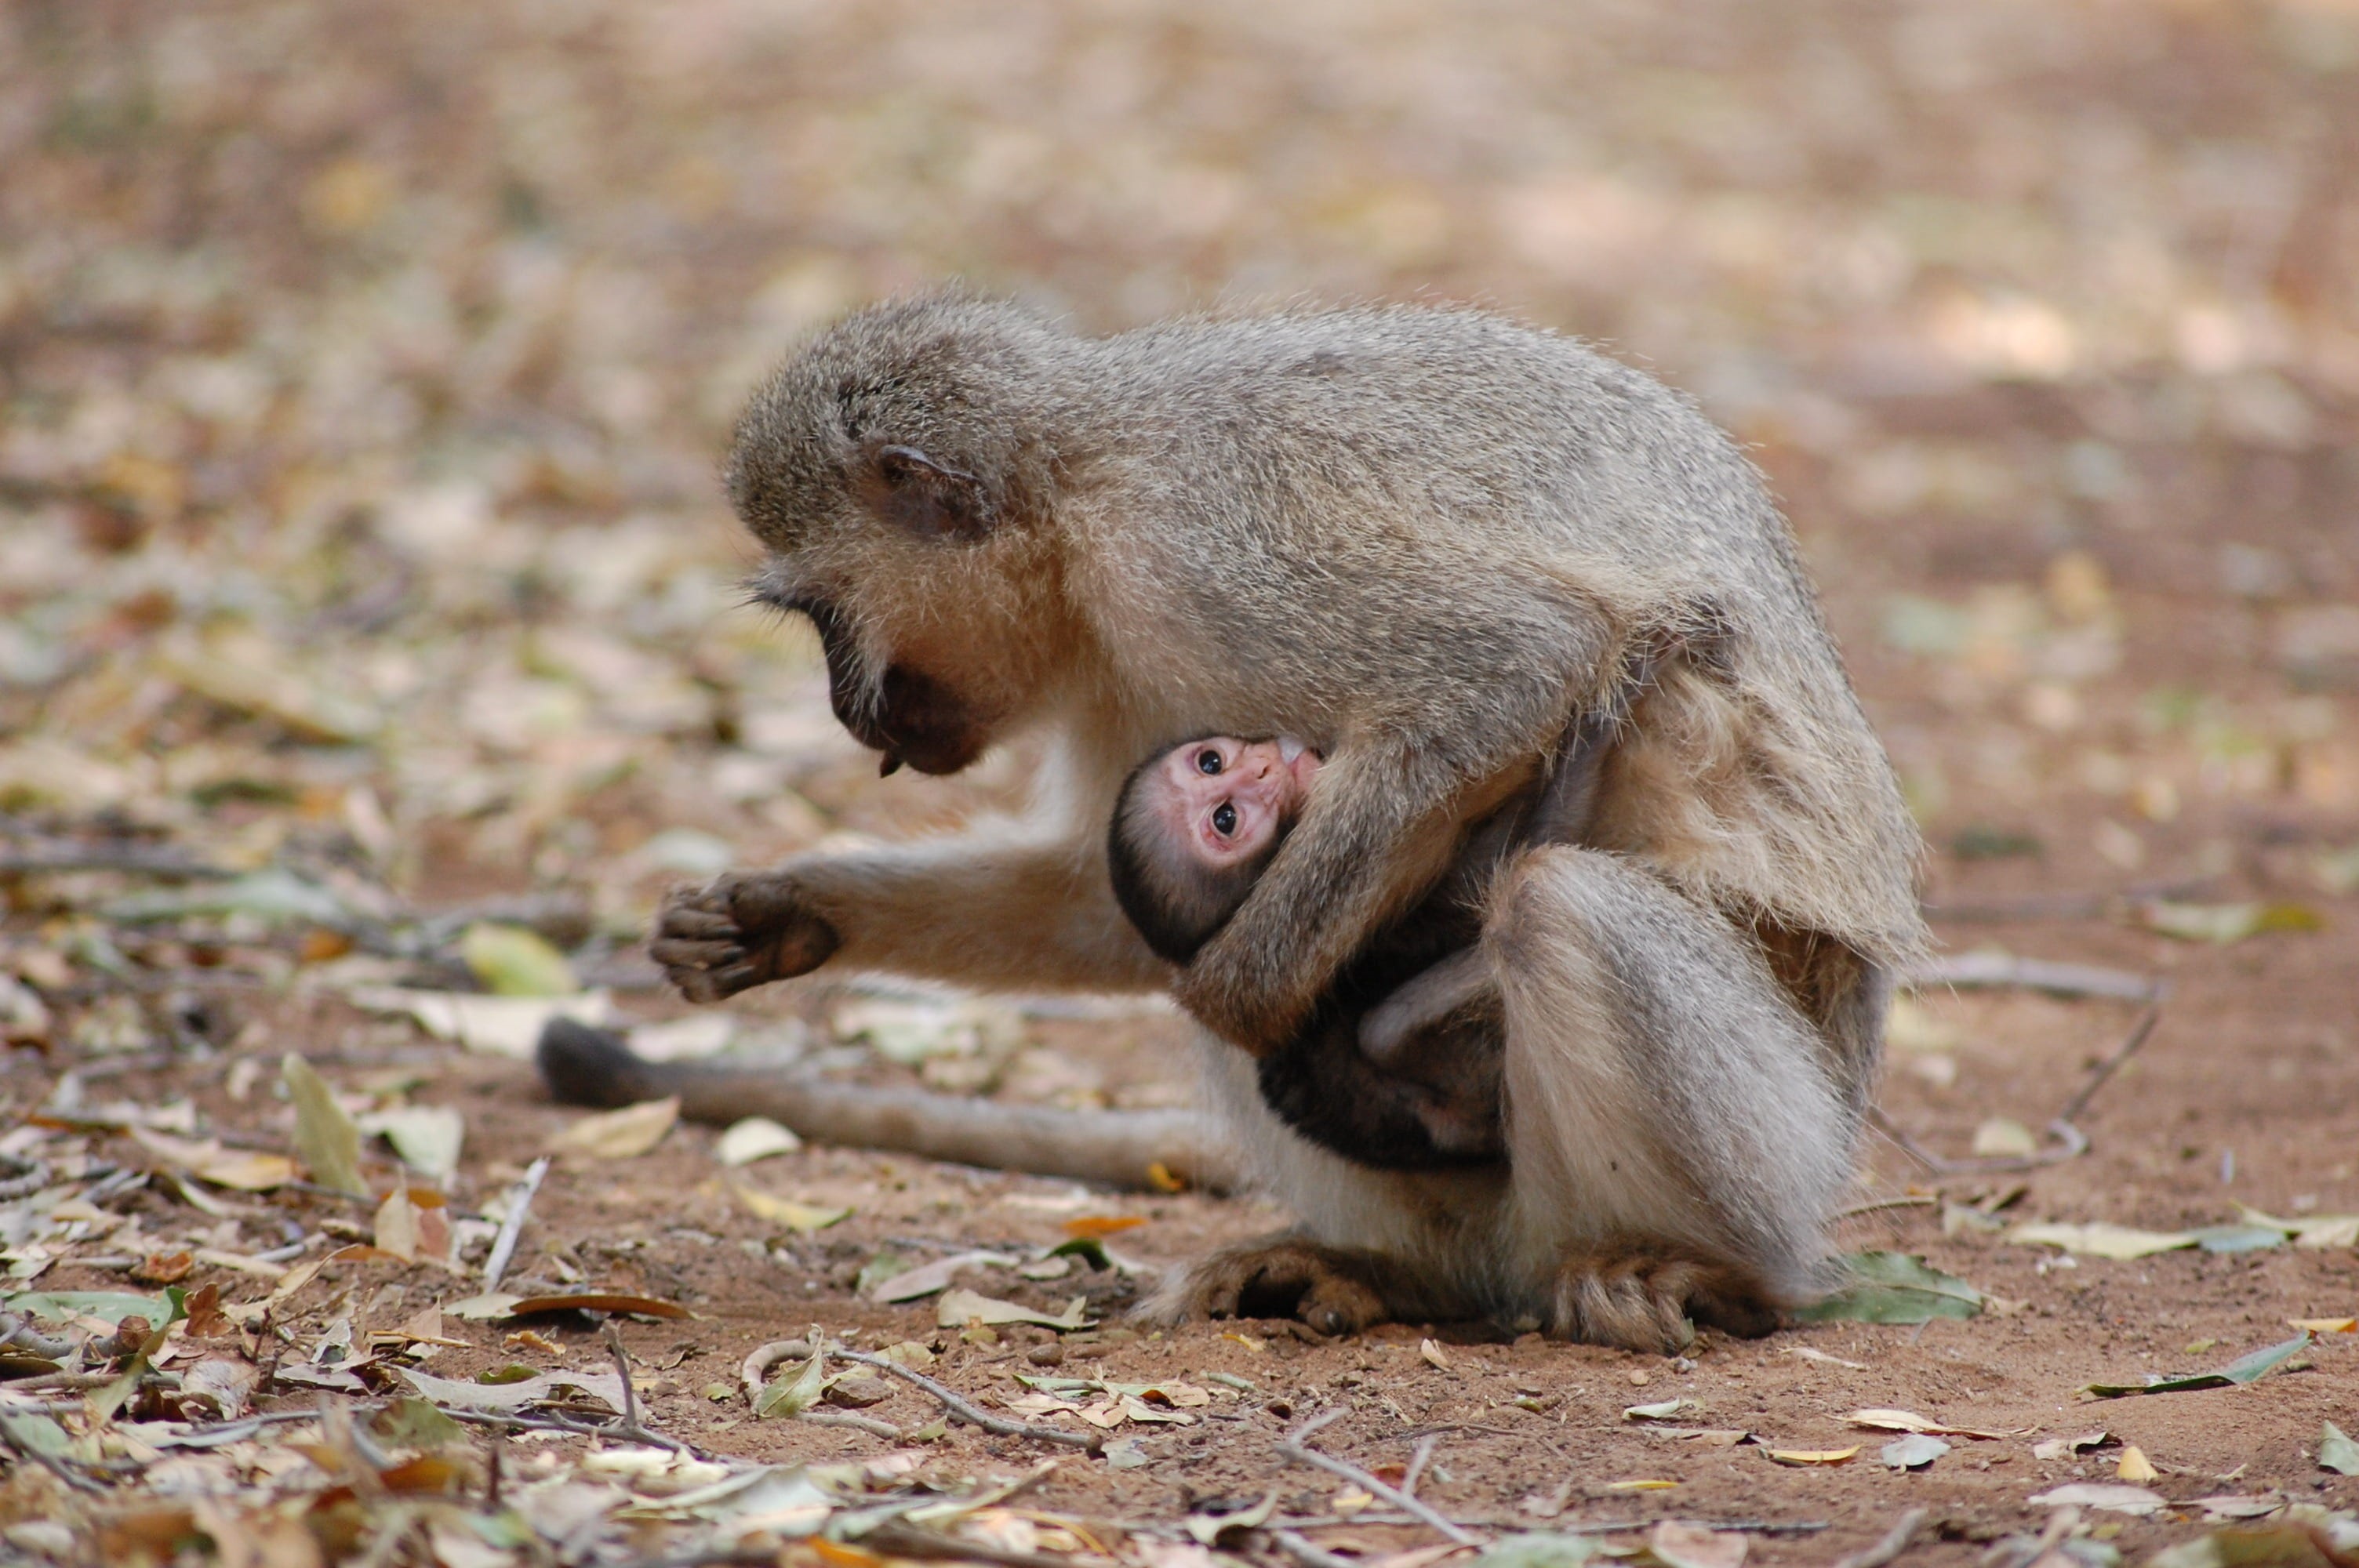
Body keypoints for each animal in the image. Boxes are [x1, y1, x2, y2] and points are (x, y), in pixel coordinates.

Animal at [554, 289, 1926, 1352]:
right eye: (1215, 781)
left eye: (826, 620)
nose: (846, 711)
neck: (1078, 486)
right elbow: (1111, 899)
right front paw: (791, 912)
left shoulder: (1192, 556)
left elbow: (1517, 667)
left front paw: (1252, 1008)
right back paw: (1402, 1272)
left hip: (1785, 1156)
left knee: (1560, 903)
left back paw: (1712, 1274)